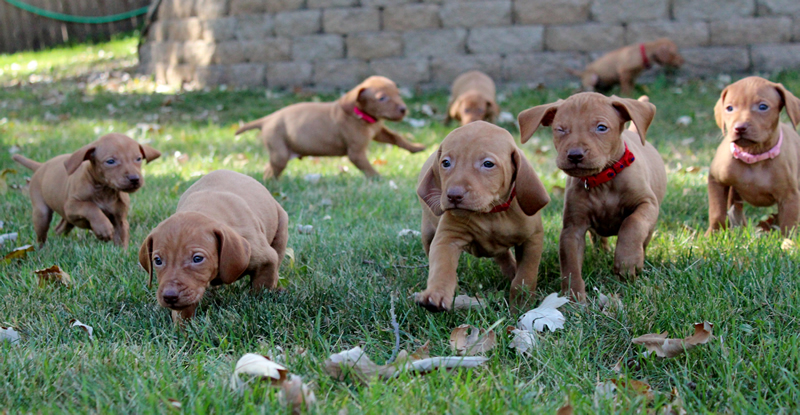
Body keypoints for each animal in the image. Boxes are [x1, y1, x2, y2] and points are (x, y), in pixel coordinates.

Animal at [11, 133, 159, 249]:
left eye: (138, 159)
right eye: (110, 161)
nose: (134, 179)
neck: (105, 191)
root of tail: (42, 166)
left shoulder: (120, 220)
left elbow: (122, 240)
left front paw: (122, 255)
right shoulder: (71, 206)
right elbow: (90, 207)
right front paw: (103, 228)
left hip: (67, 219)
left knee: (59, 229)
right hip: (42, 213)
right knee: (41, 235)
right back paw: (41, 250)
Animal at [139, 171, 290, 324]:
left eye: (197, 259)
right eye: (158, 261)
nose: (169, 296)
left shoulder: (265, 260)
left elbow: (261, 289)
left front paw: (258, 305)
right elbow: (184, 309)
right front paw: (184, 327)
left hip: (281, 228)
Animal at [412, 122, 552, 314]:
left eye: (488, 164)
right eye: (446, 163)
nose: (454, 196)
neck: (492, 213)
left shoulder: (532, 239)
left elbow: (525, 277)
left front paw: (521, 307)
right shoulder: (447, 239)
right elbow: (442, 269)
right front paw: (436, 295)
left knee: (505, 258)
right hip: (427, 233)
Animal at [516, 93, 664, 302]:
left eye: (601, 127)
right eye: (560, 129)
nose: (575, 155)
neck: (602, 181)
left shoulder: (647, 203)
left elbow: (632, 223)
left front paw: (627, 261)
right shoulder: (572, 229)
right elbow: (570, 266)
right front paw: (574, 297)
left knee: (643, 236)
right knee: (598, 237)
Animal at [708, 76, 800, 236]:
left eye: (763, 107)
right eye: (729, 108)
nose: (739, 128)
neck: (754, 156)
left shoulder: (790, 197)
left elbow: (789, 227)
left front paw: (788, 242)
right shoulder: (715, 180)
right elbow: (717, 213)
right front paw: (711, 236)